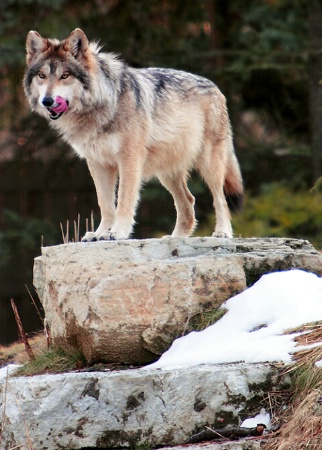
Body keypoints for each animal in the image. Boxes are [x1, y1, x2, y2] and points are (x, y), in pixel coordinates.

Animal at [23, 27, 244, 241]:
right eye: (42, 76)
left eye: (65, 76)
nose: (47, 101)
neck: (103, 105)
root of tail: (216, 87)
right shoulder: (97, 163)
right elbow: (105, 203)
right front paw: (100, 233)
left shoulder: (129, 159)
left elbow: (123, 199)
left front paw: (117, 232)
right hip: (167, 173)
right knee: (189, 201)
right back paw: (175, 238)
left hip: (209, 164)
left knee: (220, 199)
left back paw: (222, 232)